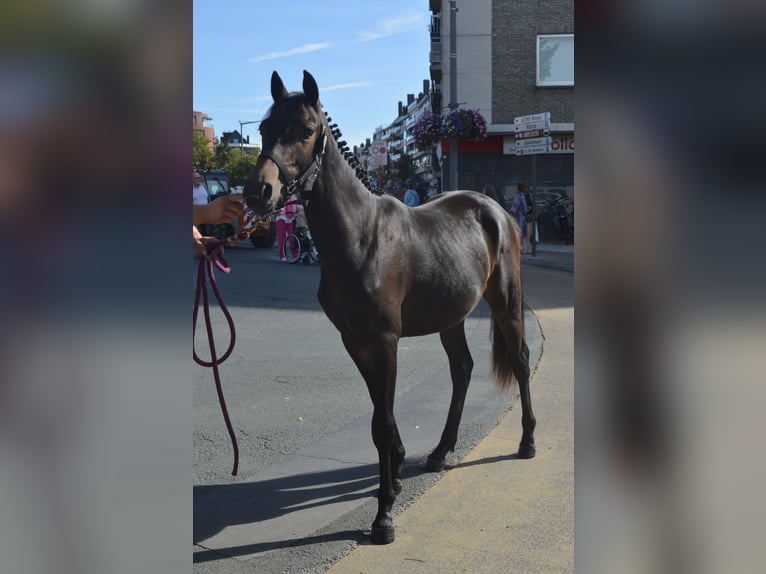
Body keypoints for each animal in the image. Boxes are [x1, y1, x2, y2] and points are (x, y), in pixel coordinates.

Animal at [243, 70, 536, 545]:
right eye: (265, 128)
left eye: (306, 130)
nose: (257, 191)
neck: (360, 236)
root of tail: (494, 208)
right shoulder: (355, 341)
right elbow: (382, 414)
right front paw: (396, 474)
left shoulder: (385, 340)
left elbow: (382, 422)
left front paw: (383, 515)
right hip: (451, 316)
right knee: (462, 369)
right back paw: (440, 451)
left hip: (506, 302)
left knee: (521, 361)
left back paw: (527, 441)